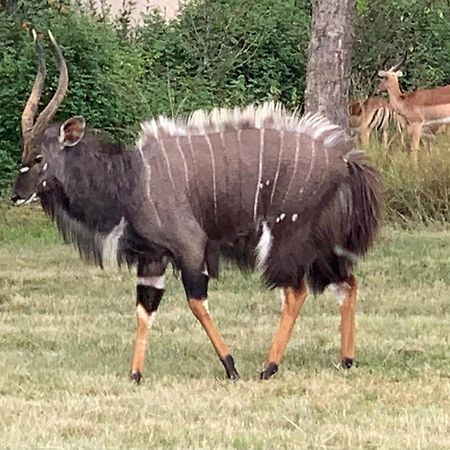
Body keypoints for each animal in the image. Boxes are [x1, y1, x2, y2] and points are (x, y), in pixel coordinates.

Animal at [12, 32, 382, 384]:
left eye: (39, 157)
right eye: (23, 153)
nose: (15, 196)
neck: (130, 178)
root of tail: (345, 162)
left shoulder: (190, 248)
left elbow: (196, 302)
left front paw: (231, 367)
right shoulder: (152, 258)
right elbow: (145, 309)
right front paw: (135, 374)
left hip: (286, 239)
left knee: (296, 291)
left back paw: (268, 366)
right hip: (323, 246)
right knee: (347, 283)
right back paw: (345, 360)